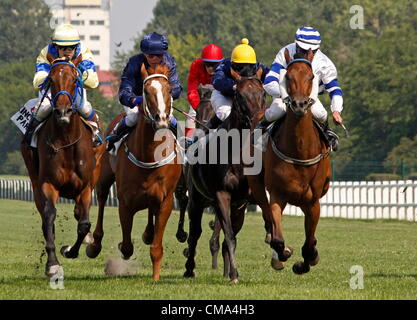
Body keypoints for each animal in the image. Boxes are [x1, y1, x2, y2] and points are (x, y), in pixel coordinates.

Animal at [20, 55, 105, 278]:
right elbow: (49, 216)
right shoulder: (48, 184)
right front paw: (52, 264)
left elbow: (84, 224)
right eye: (51, 80)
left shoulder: (85, 187)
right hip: (34, 181)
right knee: (45, 216)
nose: (63, 112)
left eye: (75, 79)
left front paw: (70, 250)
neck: (66, 141)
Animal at [86, 63, 180, 280]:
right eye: (146, 91)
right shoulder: (125, 201)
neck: (149, 156)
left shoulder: (166, 200)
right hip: (104, 178)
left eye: (169, 89)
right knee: (102, 199)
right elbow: (127, 246)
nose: (161, 120)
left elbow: (156, 247)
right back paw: (94, 244)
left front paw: (156, 278)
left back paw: (147, 233)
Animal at [184, 68, 264, 282]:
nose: (257, 121)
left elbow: (232, 236)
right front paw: (234, 274)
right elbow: (228, 235)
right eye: (240, 95)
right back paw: (189, 268)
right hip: (196, 200)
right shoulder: (221, 195)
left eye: (263, 93)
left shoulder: (242, 202)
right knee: (195, 233)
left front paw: (232, 272)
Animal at [247, 48, 332, 274]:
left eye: (311, 77)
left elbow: (309, 243)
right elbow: (277, 236)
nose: (300, 104)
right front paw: (283, 253)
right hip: (257, 184)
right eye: (288, 77)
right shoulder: (278, 195)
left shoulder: (312, 202)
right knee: (268, 218)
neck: (300, 151)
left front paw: (307, 260)